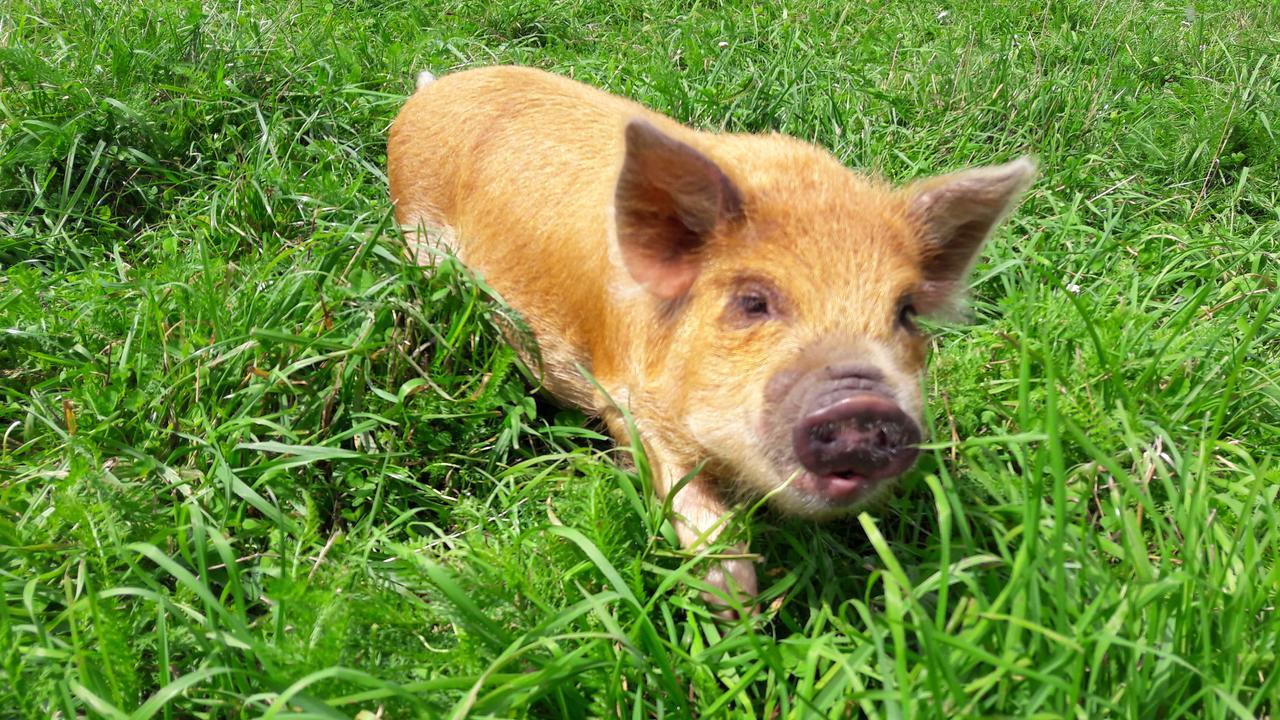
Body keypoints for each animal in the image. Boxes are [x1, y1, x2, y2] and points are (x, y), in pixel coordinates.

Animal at [384, 64, 1034, 607]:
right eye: (752, 302)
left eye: (905, 313)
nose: (862, 401)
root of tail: (431, 92)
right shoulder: (622, 394)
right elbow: (693, 505)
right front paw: (735, 609)